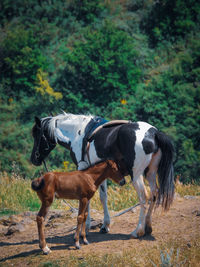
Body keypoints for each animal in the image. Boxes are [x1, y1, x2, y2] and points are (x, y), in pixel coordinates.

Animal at [30, 112, 174, 239]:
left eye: (37, 136)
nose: (33, 159)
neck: (77, 133)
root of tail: (153, 133)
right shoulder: (102, 172)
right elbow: (103, 197)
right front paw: (105, 225)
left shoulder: (82, 168)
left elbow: (88, 200)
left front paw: (85, 228)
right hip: (150, 172)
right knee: (154, 195)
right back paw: (148, 227)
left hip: (137, 174)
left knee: (144, 198)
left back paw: (138, 231)